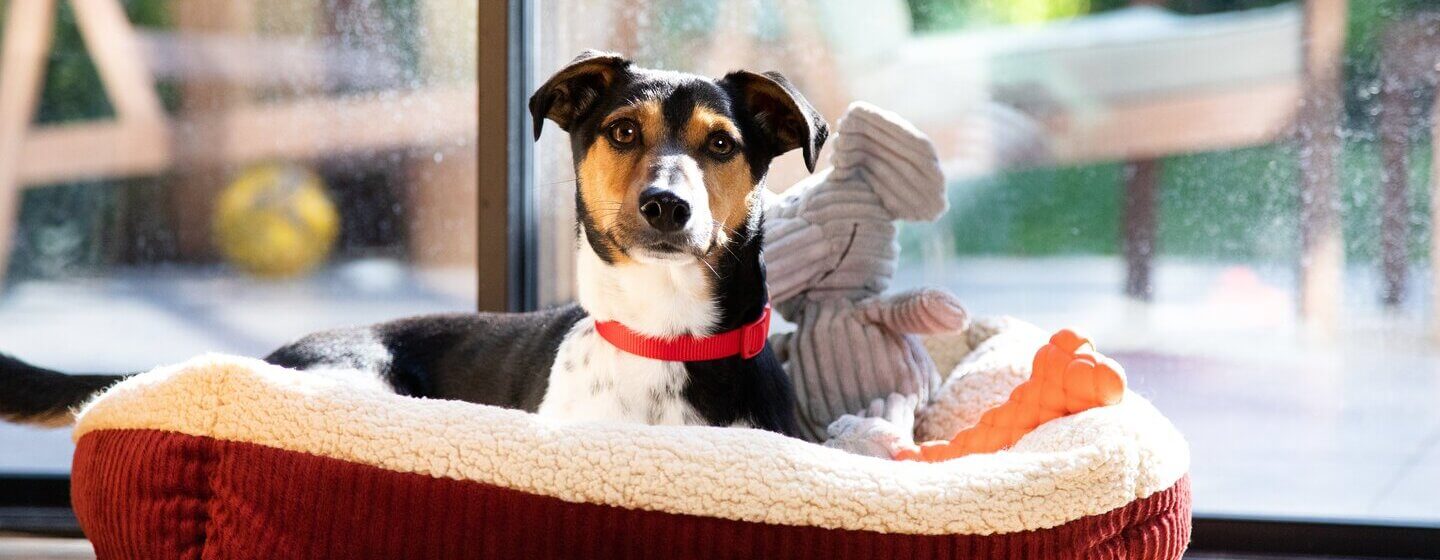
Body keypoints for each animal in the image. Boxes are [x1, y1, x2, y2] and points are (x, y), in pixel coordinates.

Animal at [0, 51, 829, 437]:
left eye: (721, 145)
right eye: (624, 131)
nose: (666, 206)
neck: (665, 337)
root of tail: (258, 357)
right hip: (367, 385)